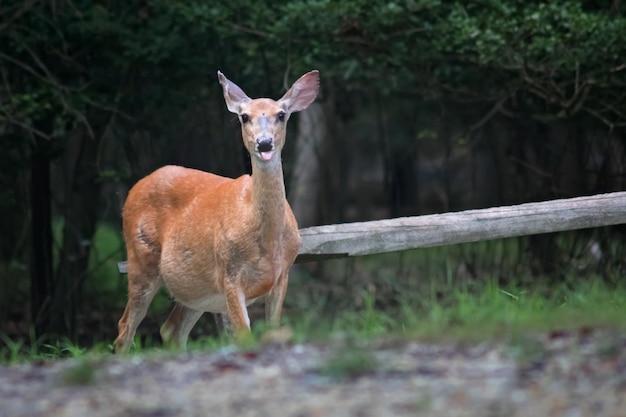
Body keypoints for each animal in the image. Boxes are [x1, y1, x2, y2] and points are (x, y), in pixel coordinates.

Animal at [112, 70, 320, 352]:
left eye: (281, 114)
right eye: (244, 116)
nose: (264, 143)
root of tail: (133, 190)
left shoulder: (282, 274)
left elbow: (272, 329)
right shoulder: (230, 272)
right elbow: (244, 335)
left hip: (197, 288)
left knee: (170, 329)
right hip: (141, 260)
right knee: (125, 327)